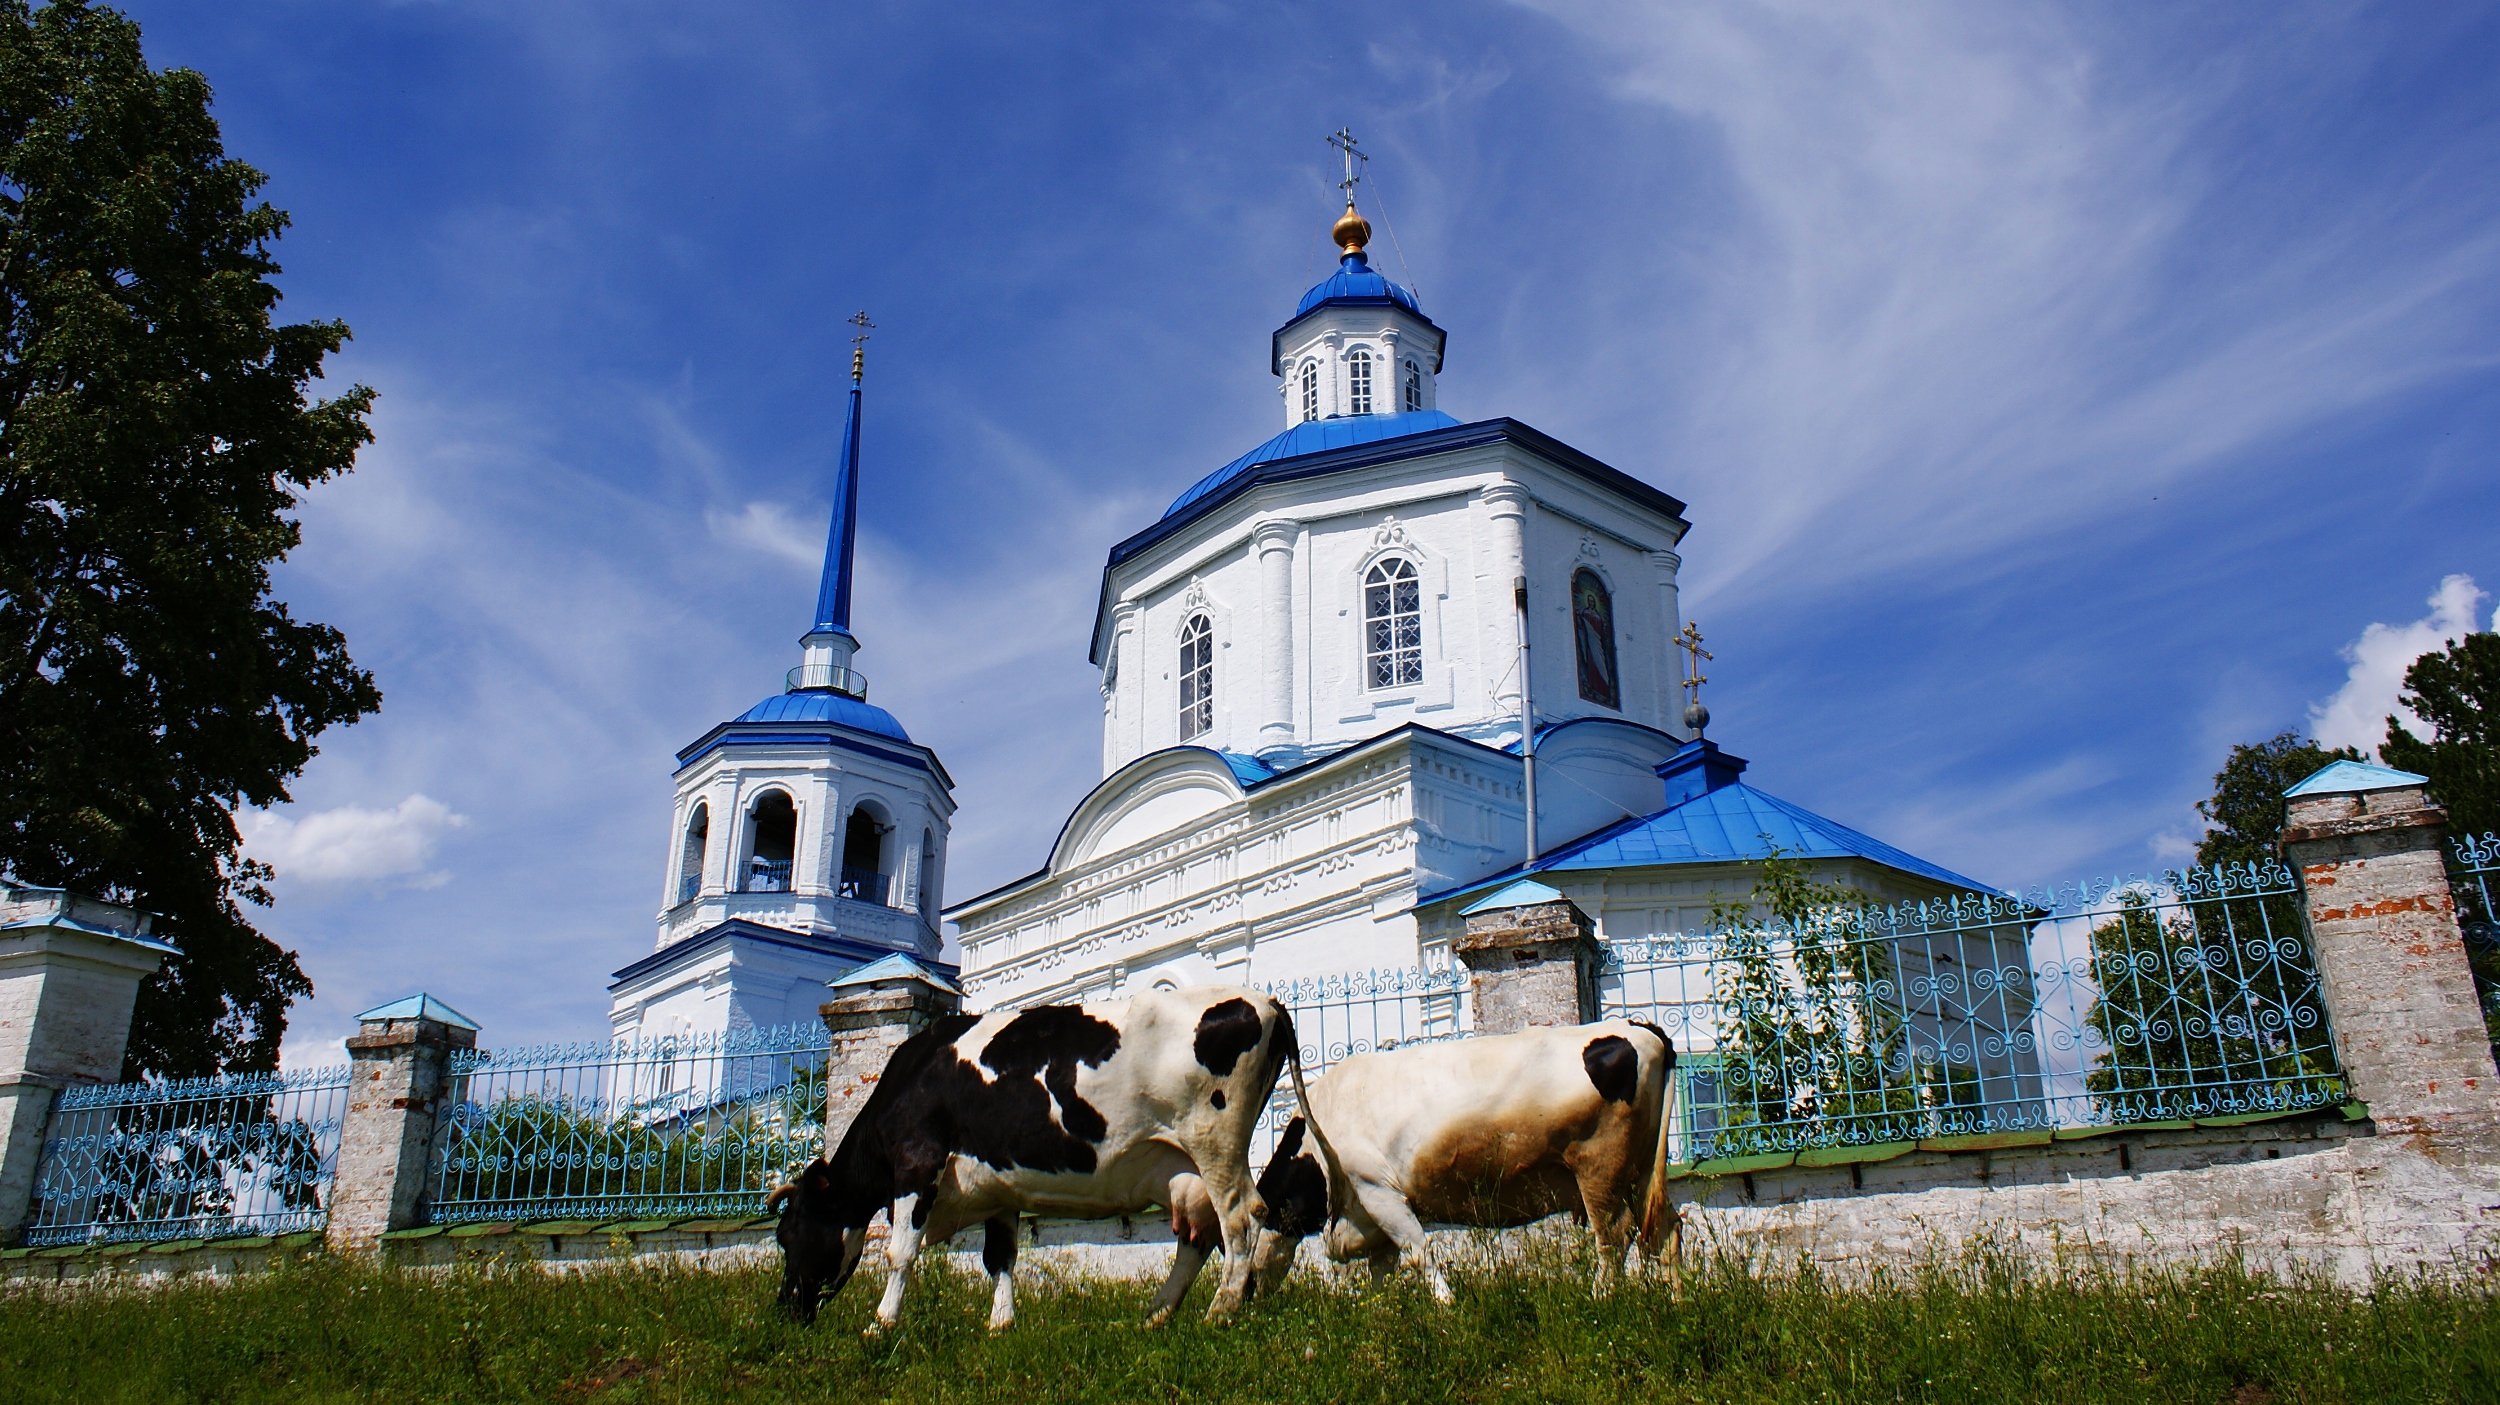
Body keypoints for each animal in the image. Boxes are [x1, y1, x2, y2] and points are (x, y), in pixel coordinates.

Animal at [760, 980, 1310, 1330]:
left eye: (788, 1234)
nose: (785, 1309)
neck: (912, 1077)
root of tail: (1263, 999)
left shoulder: (917, 1165)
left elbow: (900, 1252)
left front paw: (881, 1324)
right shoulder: (999, 1187)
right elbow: (1000, 1257)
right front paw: (1001, 1324)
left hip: (1215, 1144)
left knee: (1242, 1218)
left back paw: (1221, 1310)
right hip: (1183, 1167)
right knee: (1199, 1237)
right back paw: (1158, 1316)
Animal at [1250, 1010, 1680, 1300]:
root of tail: (1638, 1027)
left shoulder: (1377, 1190)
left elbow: (1418, 1252)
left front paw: (1446, 1307)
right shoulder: (1368, 1216)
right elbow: (1381, 1272)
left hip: (1600, 1168)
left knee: (1615, 1235)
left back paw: (1601, 1299)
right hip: (1639, 1168)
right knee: (1664, 1228)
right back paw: (1674, 1299)